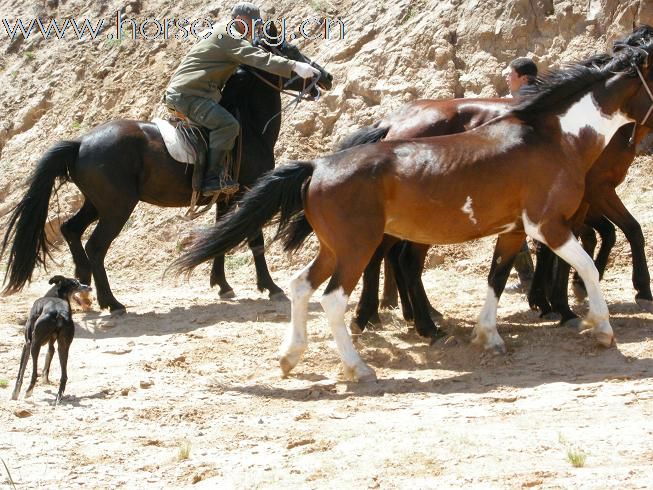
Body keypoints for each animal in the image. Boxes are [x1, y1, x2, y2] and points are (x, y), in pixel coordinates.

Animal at [1, 33, 332, 314]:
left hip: (96, 203)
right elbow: (253, 239)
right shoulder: (250, 191)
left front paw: (222, 285)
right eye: (289, 51)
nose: (325, 76)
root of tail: (80, 142)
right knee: (96, 246)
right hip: (117, 208)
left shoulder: (227, 198)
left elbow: (221, 236)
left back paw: (82, 289)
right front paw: (271, 286)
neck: (248, 124)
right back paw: (112, 302)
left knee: (71, 230)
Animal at [11, 276, 91, 406]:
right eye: (76, 283)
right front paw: (45, 380)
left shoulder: (27, 344)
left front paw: (14, 394)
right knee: (64, 375)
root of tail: (59, 313)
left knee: (34, 373)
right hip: (63, 347)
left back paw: (29, 391)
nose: (89, 287)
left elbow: (21, 372)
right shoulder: (51, 344)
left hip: (35, 344)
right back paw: (59, 396)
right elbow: (48, 357)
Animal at [172, 35, 652, 382]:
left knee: (301, 286)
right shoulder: (550, 225)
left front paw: (489, 336)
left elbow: (497, 278)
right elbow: (587, 268)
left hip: (335, 248)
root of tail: (318, 165)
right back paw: (360, 365)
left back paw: (291, 356)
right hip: (358, 248)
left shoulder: (514, 230)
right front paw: (599, 326)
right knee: (334, 298)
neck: (551, 136)